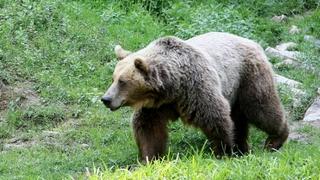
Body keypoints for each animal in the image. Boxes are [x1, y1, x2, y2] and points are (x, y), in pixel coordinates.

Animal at [101, 31, 288, 161]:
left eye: (122, 81)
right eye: (113, 78)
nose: (106, 99)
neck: (172, 87)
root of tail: (252, 42)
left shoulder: (195, 89)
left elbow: (215, 117)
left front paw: (223, 151)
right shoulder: (155, 106)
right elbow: (148, 128)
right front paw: (150, 158)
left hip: (247, 76)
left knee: (261, 108)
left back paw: (275, 139)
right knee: (239, 118)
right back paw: (243, 148)